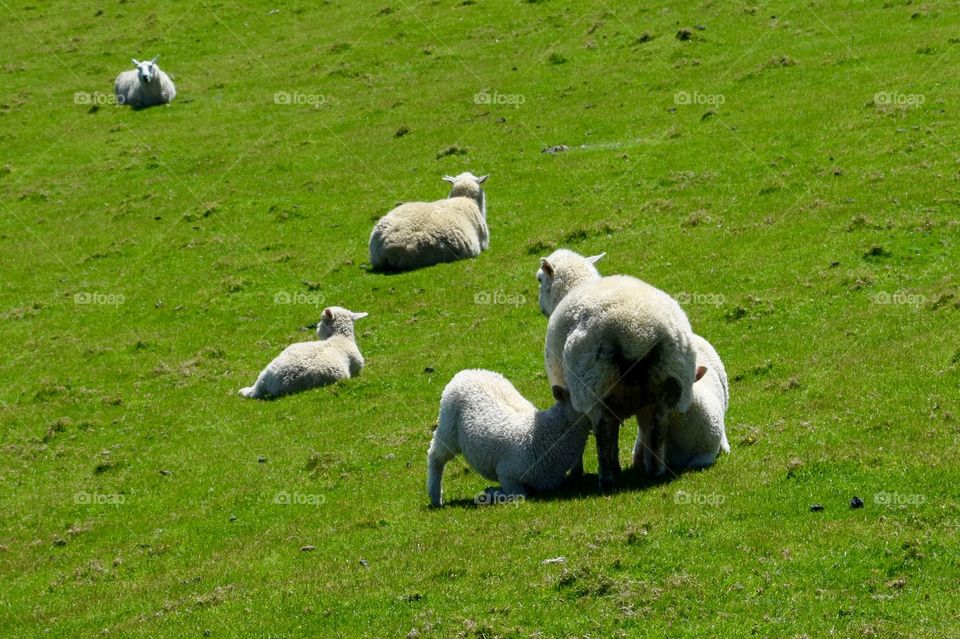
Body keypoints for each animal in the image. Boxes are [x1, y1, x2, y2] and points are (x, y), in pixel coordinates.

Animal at [428, 370, 592, 510]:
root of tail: (467, 371)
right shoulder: (507, 474)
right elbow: (519, 494)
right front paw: (493, 492)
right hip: (448, 428)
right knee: (435, 457)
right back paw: (435, 497)